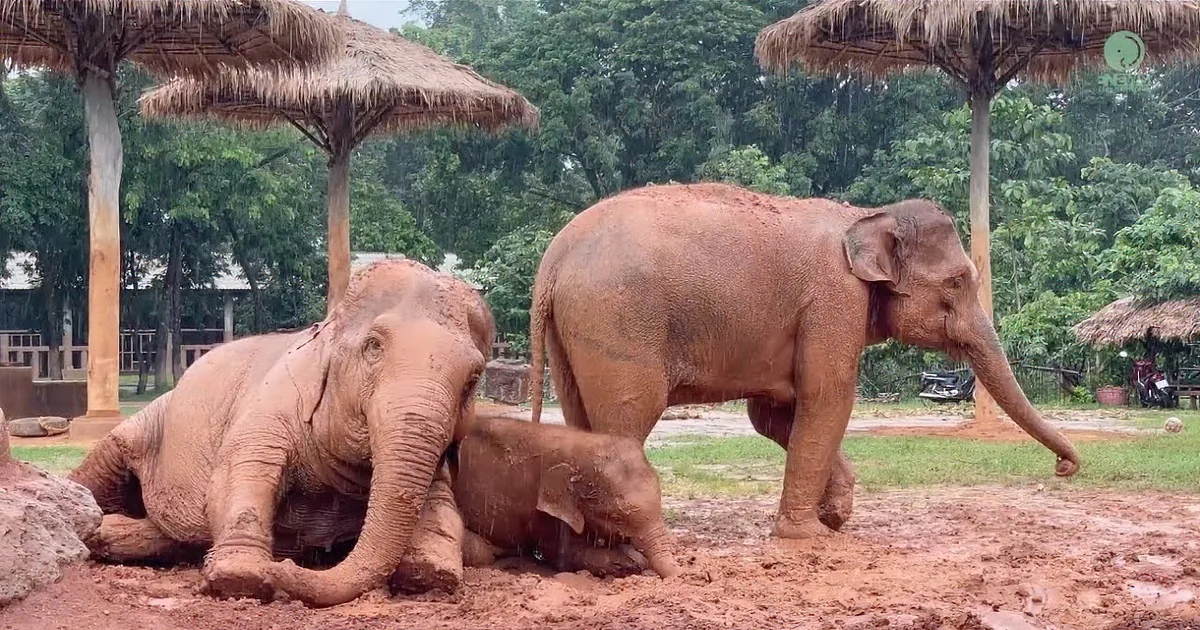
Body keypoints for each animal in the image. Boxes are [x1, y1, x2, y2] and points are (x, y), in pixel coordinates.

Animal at [68, 260, 494, 607]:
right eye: (373, 346)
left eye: (473, 378)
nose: (285, 566)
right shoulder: (274, 402)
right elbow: (241, 469)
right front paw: (241, 579)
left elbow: (442, 504)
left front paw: (431, 575)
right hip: (151, 420)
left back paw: (112, 533)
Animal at [445, 414, 680, 579]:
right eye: (616, 518)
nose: (680, 576)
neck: (581, 443)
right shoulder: (541, 511)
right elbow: (562, 554)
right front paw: (631, 563)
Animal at [527, 182, 1080, 540]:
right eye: (960, 281)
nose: (1065, 468)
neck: (866, 215)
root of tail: (551, 262)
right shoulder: (833, 297)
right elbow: (828, 396)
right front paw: (808, 535)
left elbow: (774, 415)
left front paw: (834, 516)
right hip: (617, 322)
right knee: (627, 422)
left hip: (573, 336)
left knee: (579, 420)